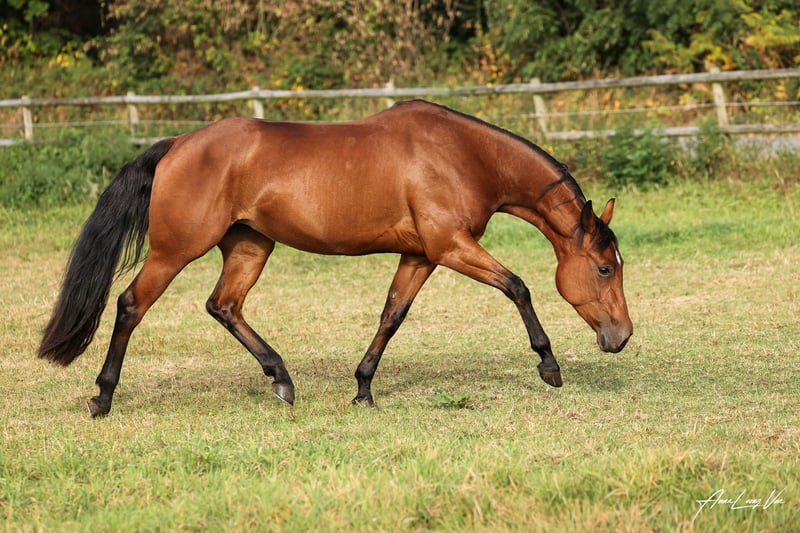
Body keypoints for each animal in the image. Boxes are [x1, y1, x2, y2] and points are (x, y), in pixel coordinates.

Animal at [38, 99, 632, 417]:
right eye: (604, 268)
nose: (621, 337)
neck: (462, 155)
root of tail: (179, 142)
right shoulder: (451, 246)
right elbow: (518, 286)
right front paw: (549, 366)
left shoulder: (420, 255)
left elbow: (392, 316)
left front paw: (363, 388)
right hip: (174, 250)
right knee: (130, 306)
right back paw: (102, 397)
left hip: (250, 245)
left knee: (224, 305)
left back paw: (281, 380)